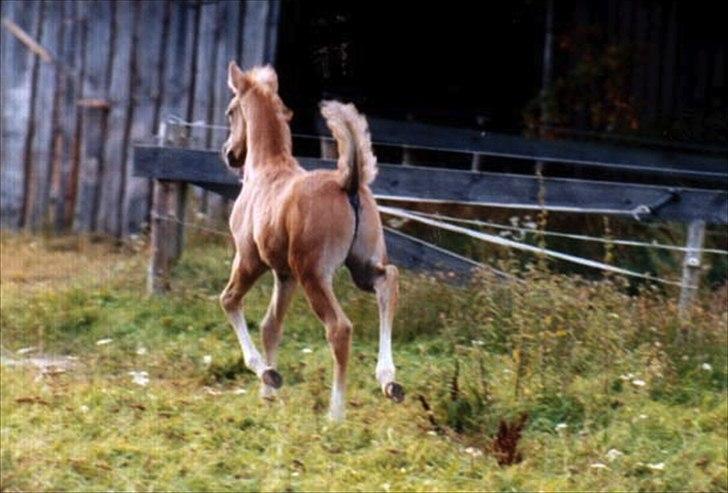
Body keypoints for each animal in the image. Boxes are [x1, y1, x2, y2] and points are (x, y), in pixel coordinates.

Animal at [222, 62, 404, 418]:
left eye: (230, 111)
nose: (230, 154)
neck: (267, 170)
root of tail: (348, 182)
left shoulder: (249, 259)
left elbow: (230, 301)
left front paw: (267, 374)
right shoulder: (284, 274)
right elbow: (271, 325)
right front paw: (268, 394)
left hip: (314, 274)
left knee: (339, 328)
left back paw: (335, 413)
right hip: (362, 267)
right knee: (388, 281)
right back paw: (389, 381)